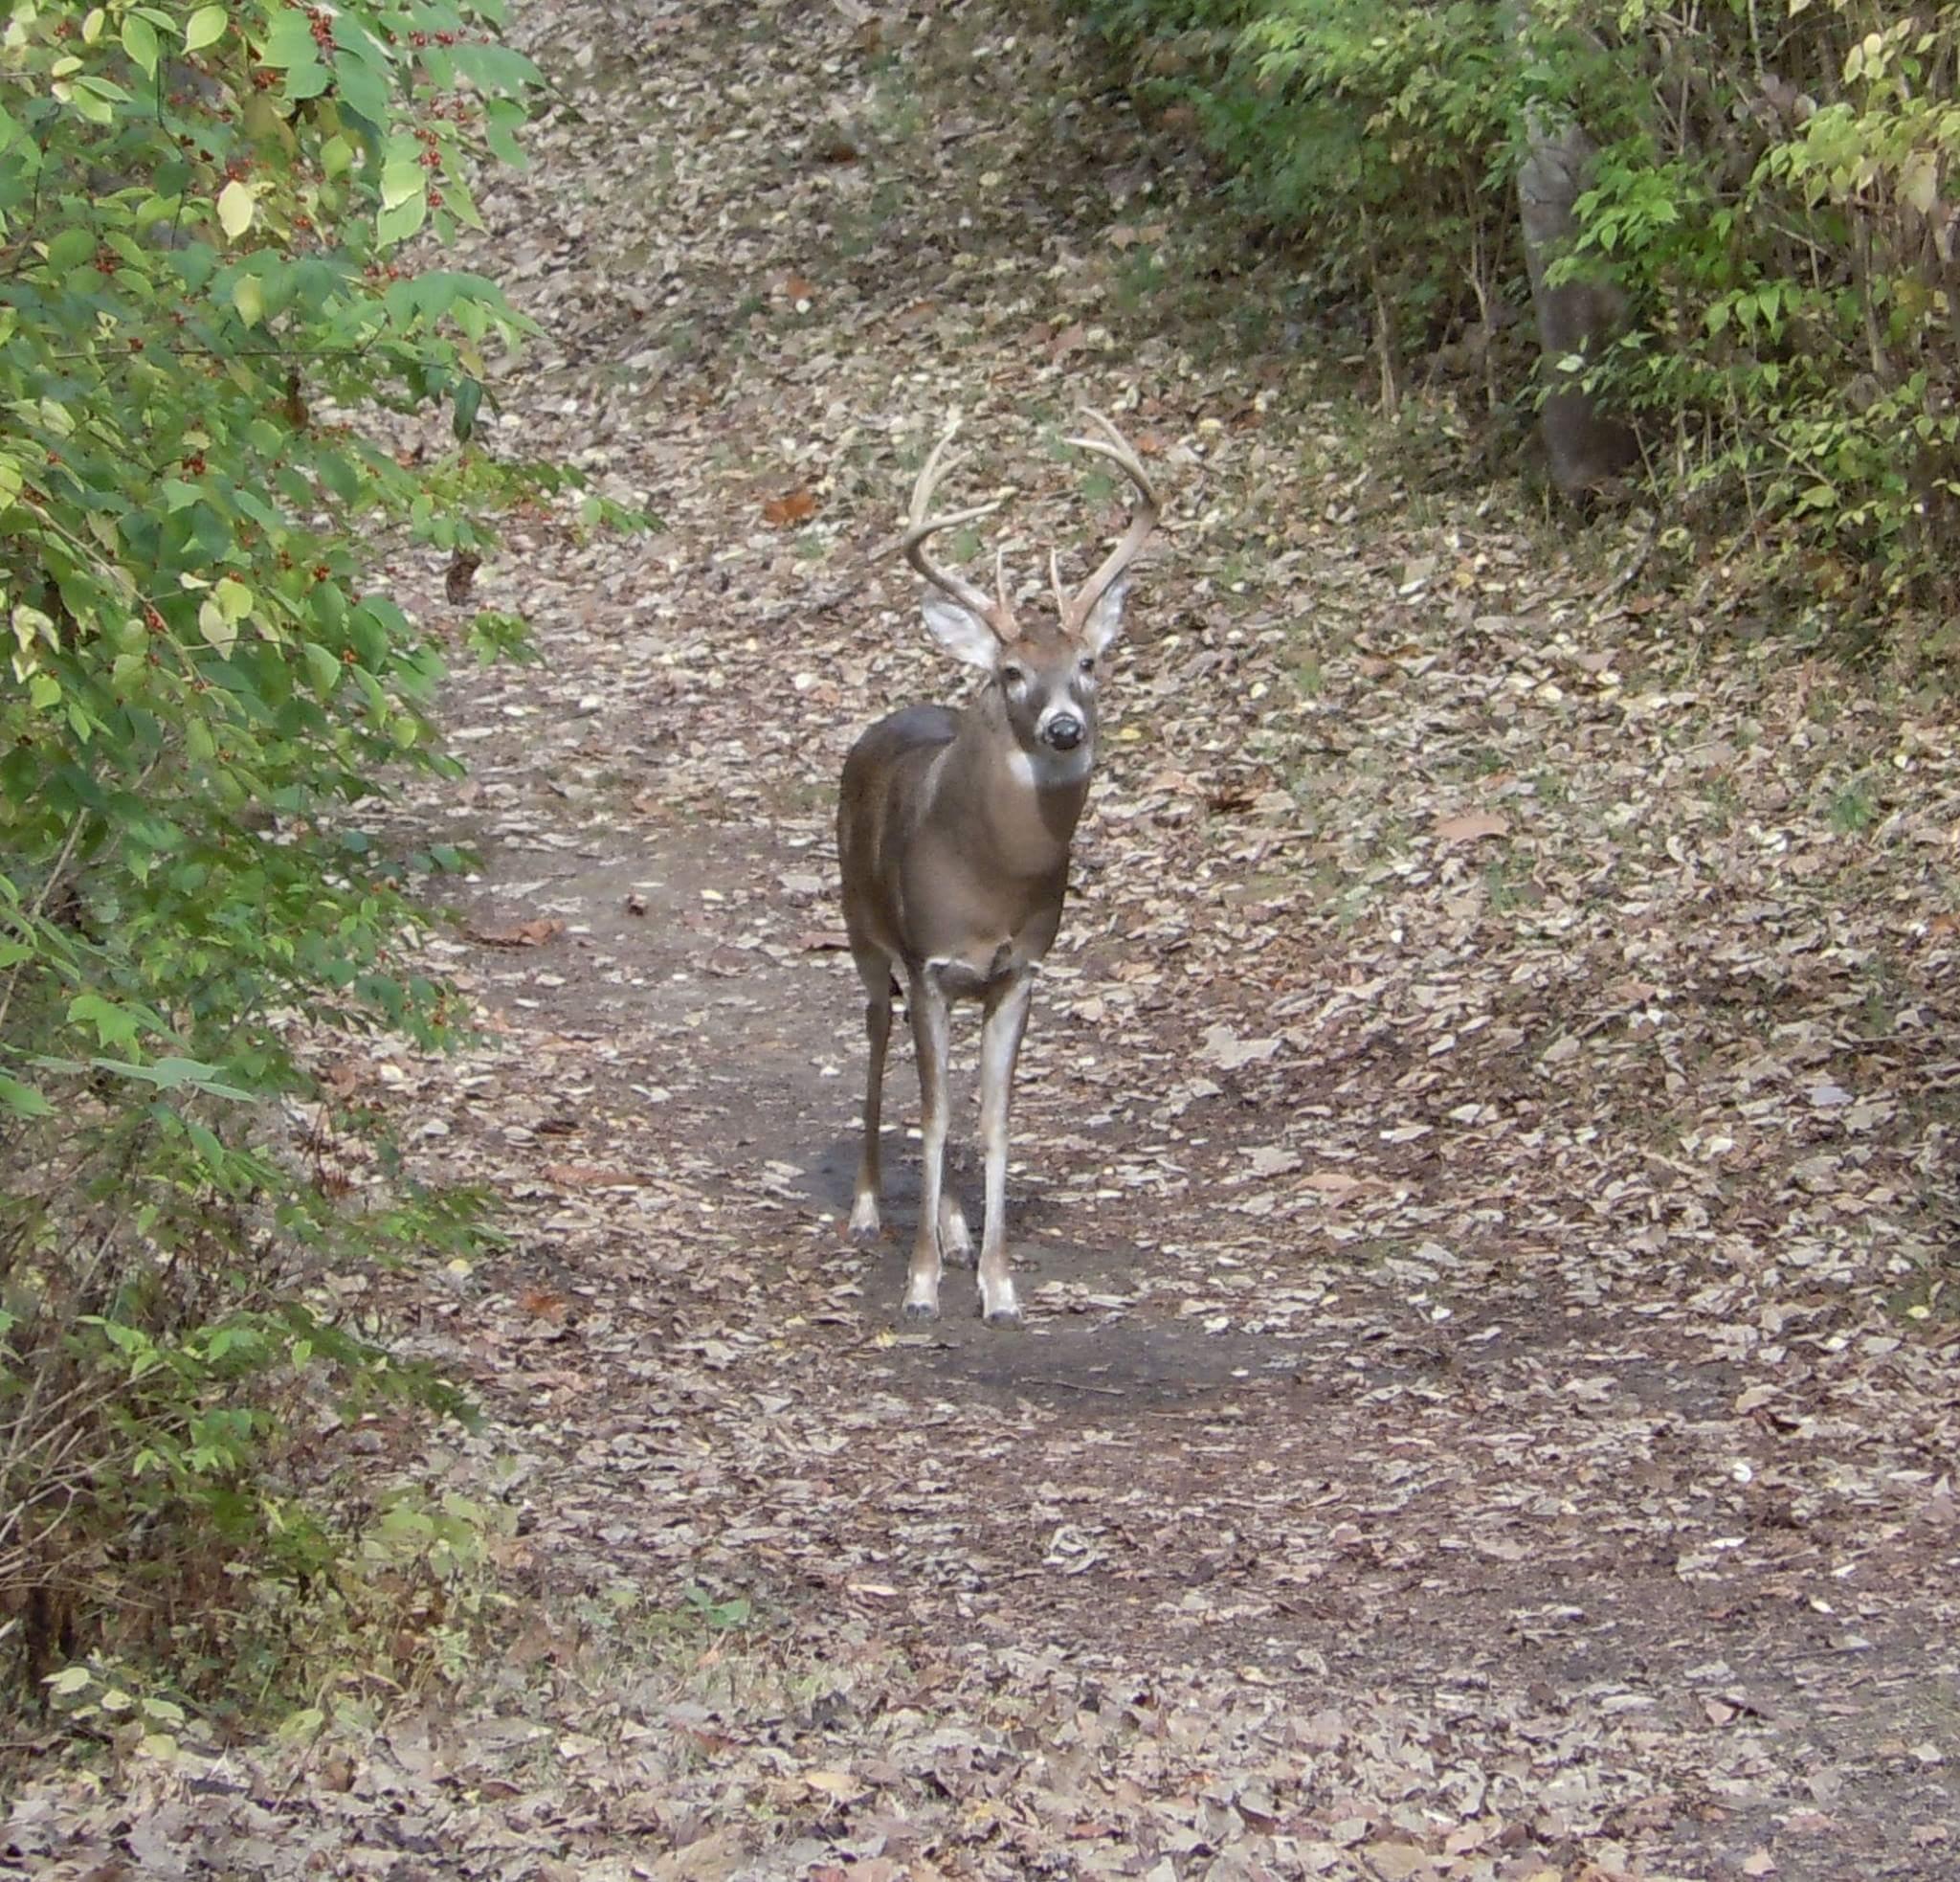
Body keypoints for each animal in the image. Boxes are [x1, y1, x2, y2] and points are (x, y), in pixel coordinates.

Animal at [837, 411, 1160, 1327]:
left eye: (1089, 662)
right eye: (1011, 672)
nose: (1062, 726)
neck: (993, 878)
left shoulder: (1019, 969)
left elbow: (990, 1121)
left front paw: (998, 1282)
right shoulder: (930, 961)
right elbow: (935, 1115)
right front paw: (918, 1288)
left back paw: (951, 1231)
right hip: (862, 933)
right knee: (875, 1039)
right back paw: (868, 1209)